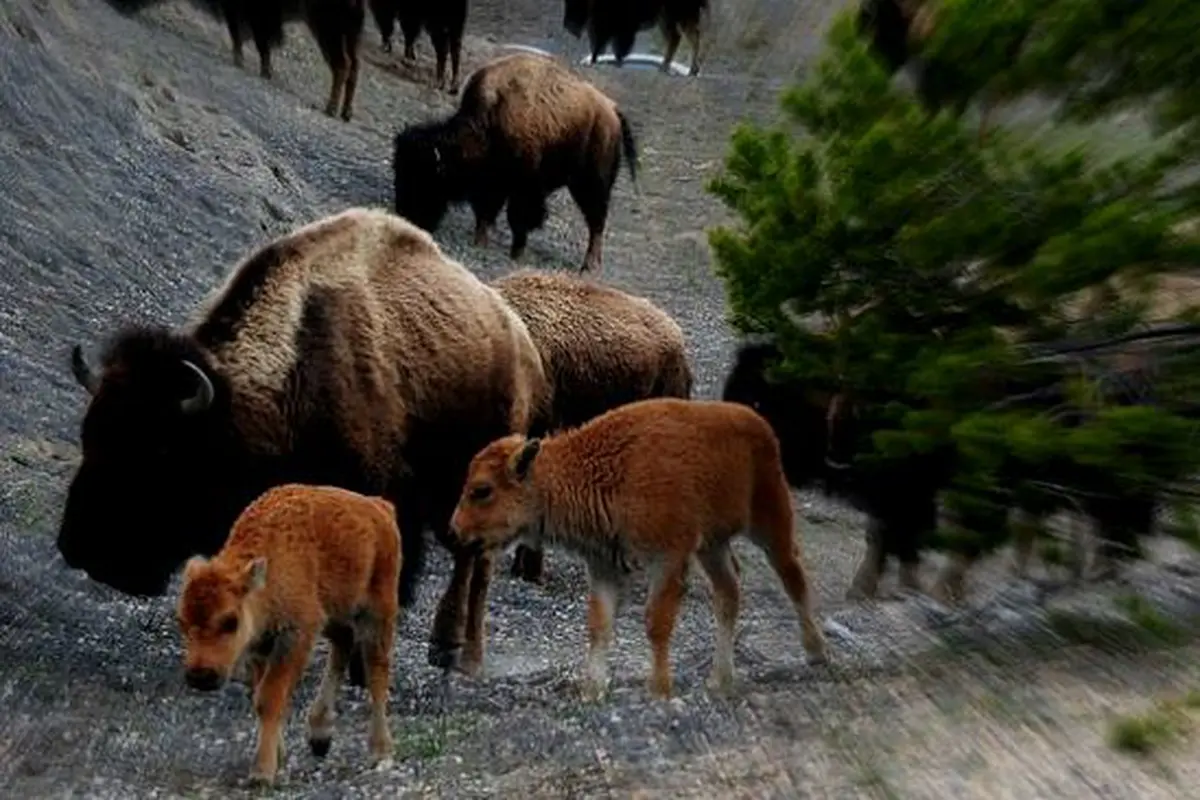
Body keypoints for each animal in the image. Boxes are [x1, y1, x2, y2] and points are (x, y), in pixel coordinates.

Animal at [58, 208, 551, 681]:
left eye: (162, 450)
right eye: (89, 435)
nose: (81, 548)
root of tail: (518, 337)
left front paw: (358, 670)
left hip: (472, 485)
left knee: (472, 561)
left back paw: (456, 652)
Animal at [392, 51, 639, 273]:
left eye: (424, 177)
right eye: (400, 171)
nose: (406, 215)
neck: (490, 118)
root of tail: (612, 109)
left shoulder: (524, 186)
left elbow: (519, 217)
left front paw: (516, 252)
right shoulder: (493, 183)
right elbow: (485, 211)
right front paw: (480, 241)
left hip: (591, 183)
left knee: (596, 220)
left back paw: (589, 265)